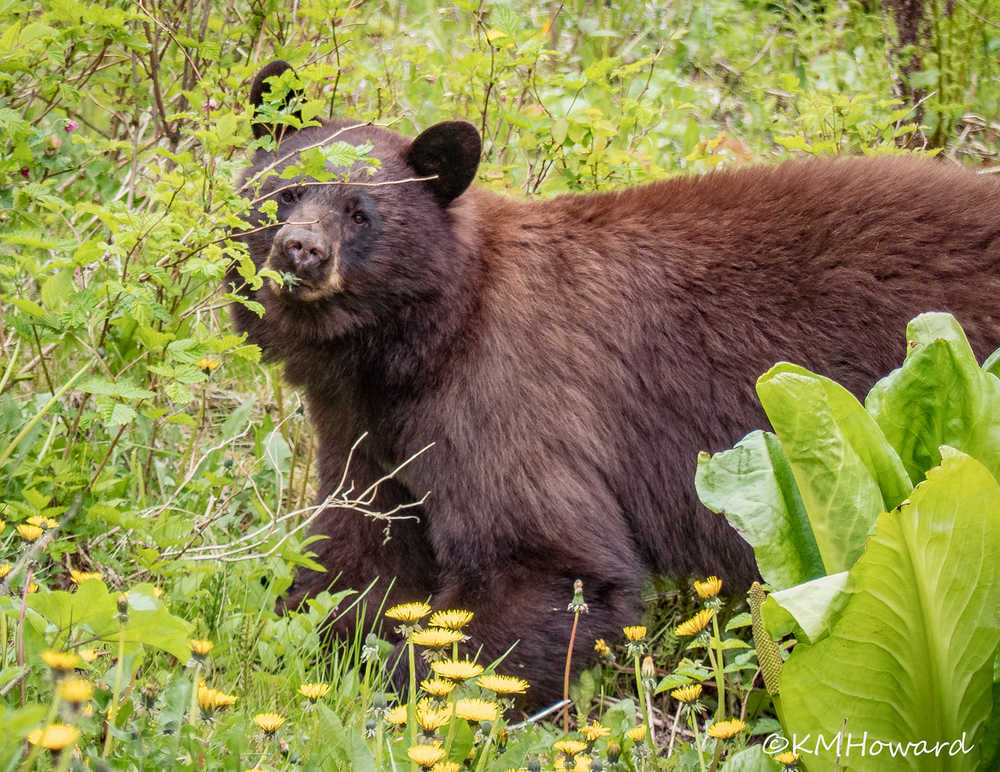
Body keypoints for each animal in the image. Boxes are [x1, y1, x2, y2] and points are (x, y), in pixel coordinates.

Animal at [229, 60, 1000, 705]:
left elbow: (550, 562)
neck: (418, 341)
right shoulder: (365, 424)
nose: (301, 250)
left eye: (362, 211)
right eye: (286, 192)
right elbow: (361, 545)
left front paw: (402, 685)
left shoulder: (508, 389)